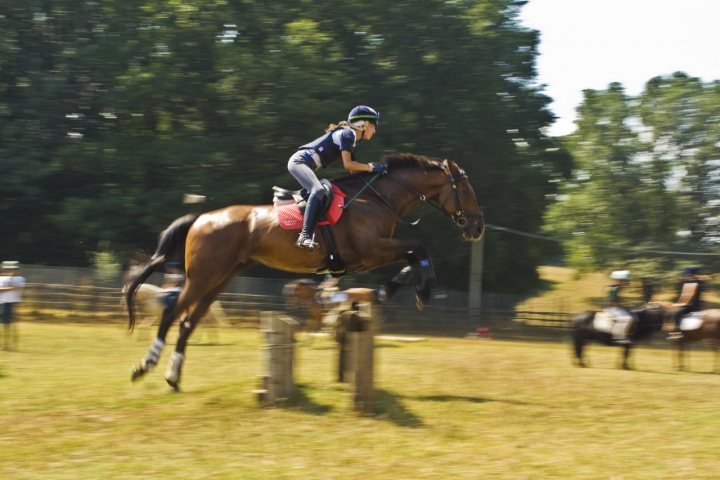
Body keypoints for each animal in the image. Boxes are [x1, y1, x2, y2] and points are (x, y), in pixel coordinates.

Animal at [125, 154, 484, 390]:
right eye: (467, 190)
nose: (478, 227)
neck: (376, 198)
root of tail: (201, 218)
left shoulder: (373, 254)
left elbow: (415, 252)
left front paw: (393, 287)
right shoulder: (370, 251)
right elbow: (420, 248)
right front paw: (420, 290)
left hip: (221, 279)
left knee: (189, 321)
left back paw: (173, 376)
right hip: (203, 276)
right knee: (172, 312)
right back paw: (146, 365)